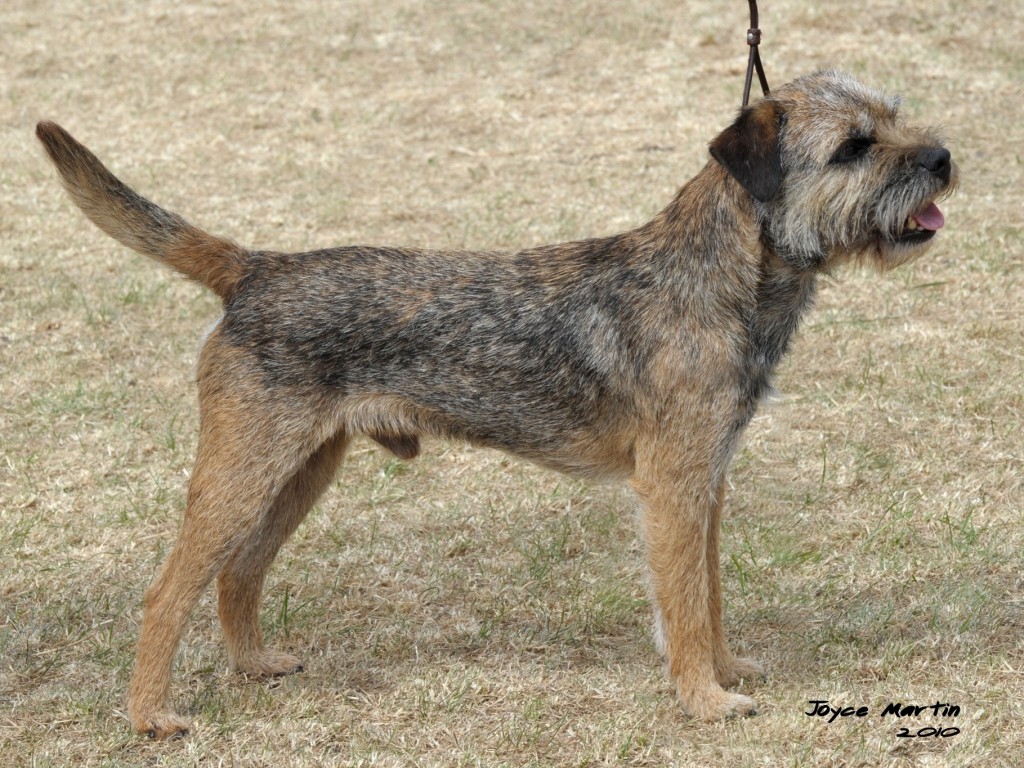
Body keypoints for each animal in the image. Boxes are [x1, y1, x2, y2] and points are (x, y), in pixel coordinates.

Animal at [36, 69, 957, 739]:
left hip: (301, 470)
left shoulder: (707, 483)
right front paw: (706, 700)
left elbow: (709, 592)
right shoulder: (672, 487)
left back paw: (255, 666)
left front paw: (725, 674)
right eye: (854, 147)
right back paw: (150, 716)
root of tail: (255, 268)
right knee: (168, 591)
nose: (944, 157)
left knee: (240, 571)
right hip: (243, 470)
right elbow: (687, 602)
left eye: (893, 119)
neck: (714, 276)